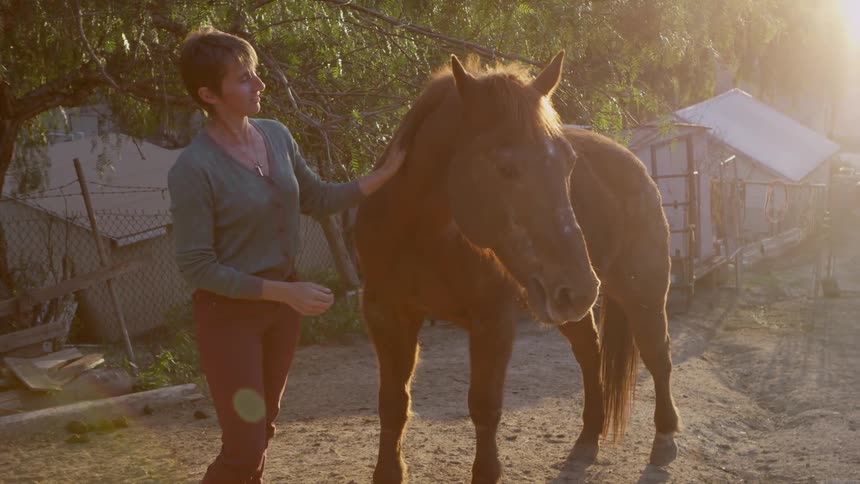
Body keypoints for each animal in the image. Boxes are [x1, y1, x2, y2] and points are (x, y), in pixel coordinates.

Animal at [353, 50, 680, 483]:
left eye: (568, 164)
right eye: (506, 169)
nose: (580, 286)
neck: (420, 233)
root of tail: (636, 164)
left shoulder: (492, 321)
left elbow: (484, 406)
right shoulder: (387, 315)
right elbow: (392, 403)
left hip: (643, 293)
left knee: (657, 355)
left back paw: (664, 439)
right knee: (590, 356)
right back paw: (586, 441)